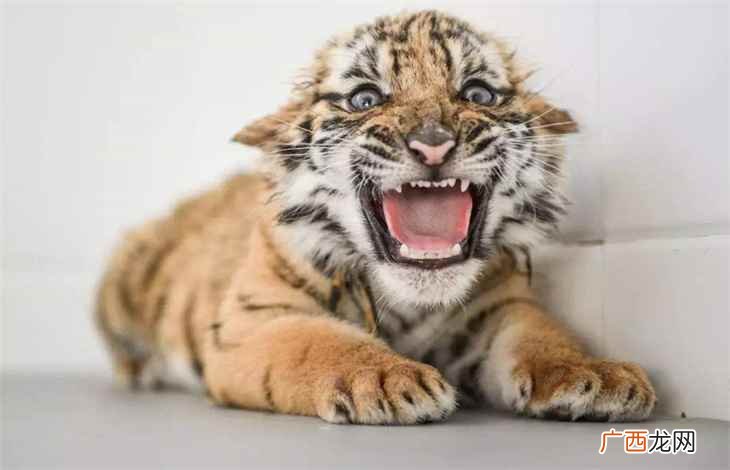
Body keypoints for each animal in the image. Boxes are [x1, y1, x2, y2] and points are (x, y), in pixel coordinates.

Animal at [96, 10, 656, 424]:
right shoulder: (253, 321)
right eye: (366, 98)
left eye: (476, 93)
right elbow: (318, 342)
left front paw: (595, 375)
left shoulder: (501, 306)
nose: (433, 143)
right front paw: (389, 378)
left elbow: (544, 335)